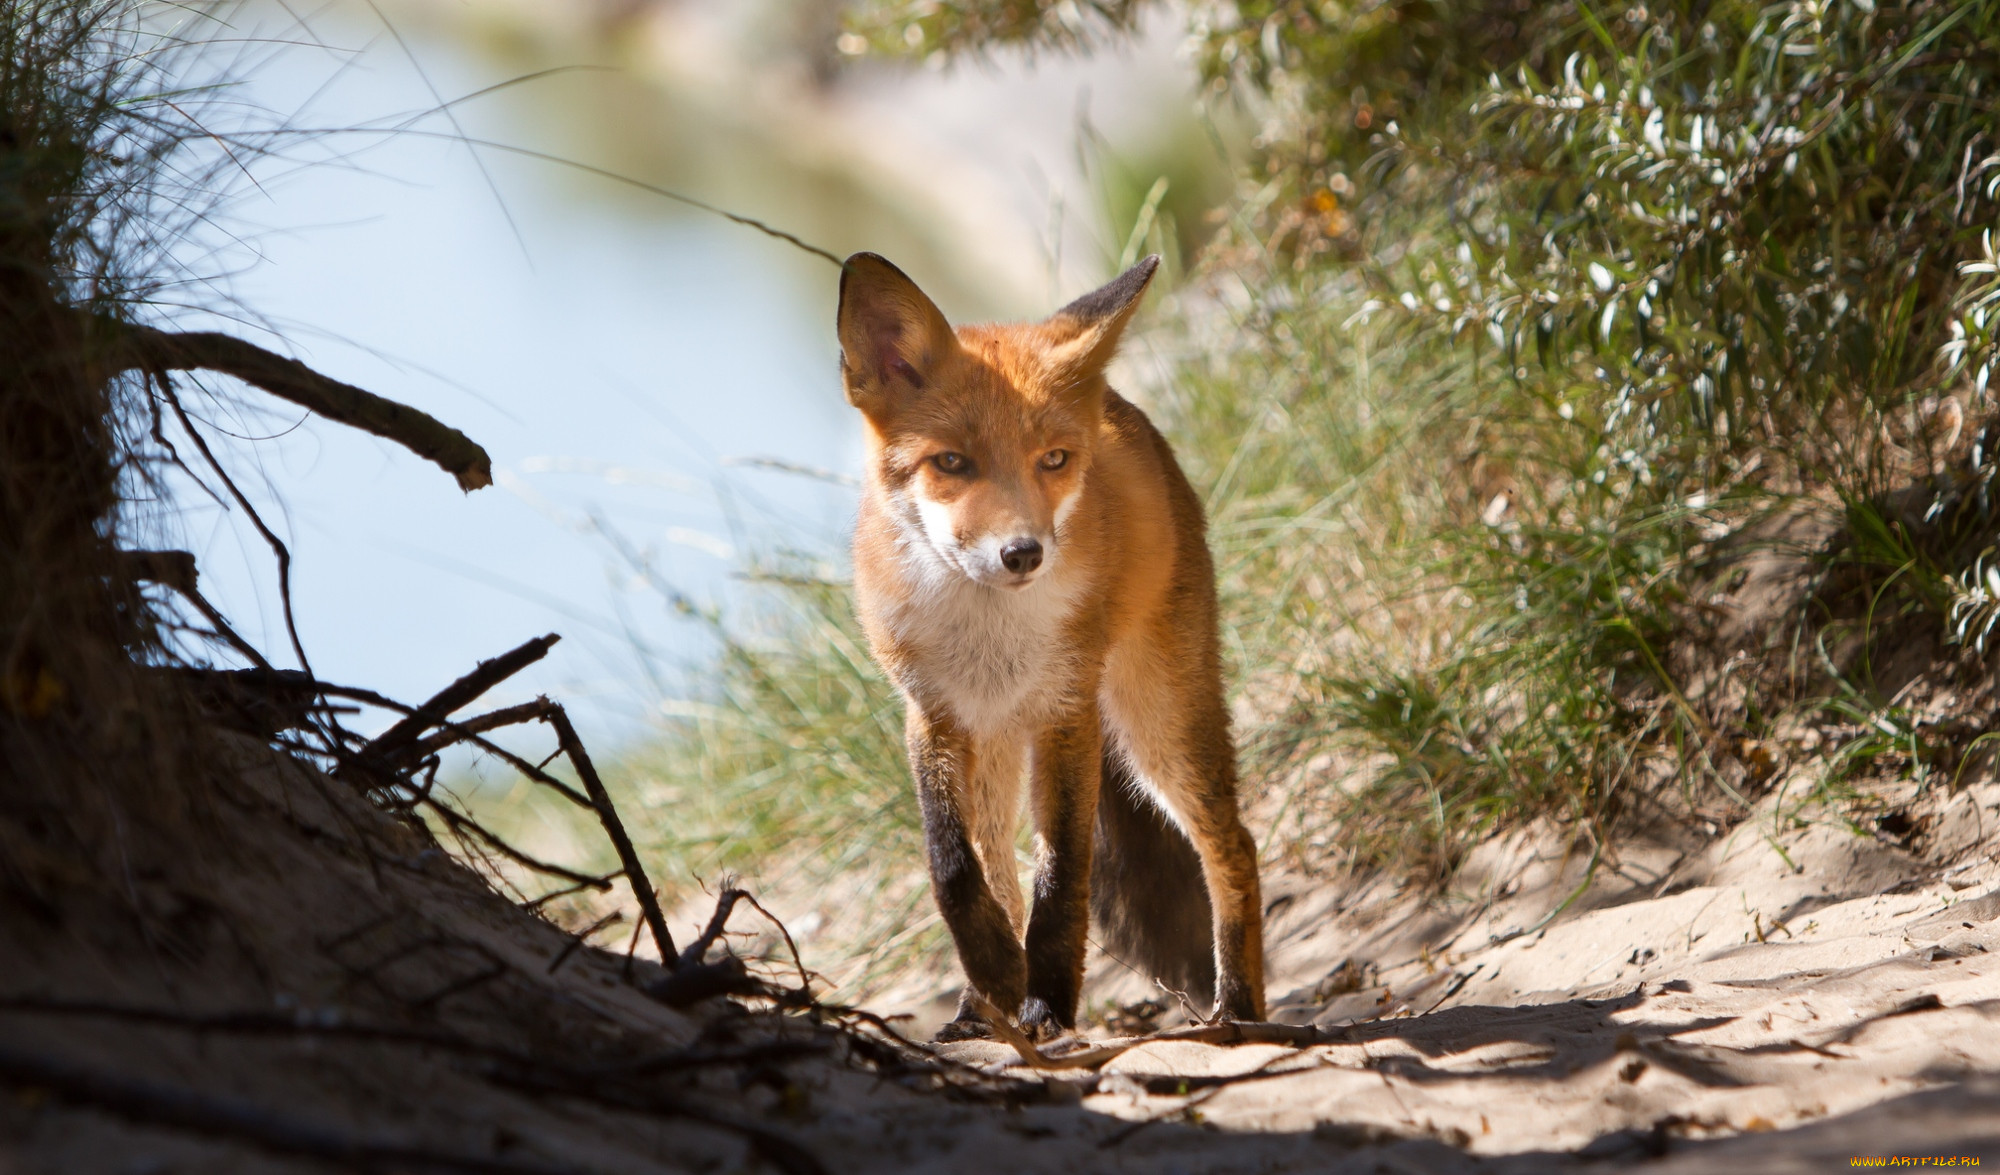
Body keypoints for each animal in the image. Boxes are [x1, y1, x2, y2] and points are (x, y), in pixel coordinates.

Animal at [836, 249, 1256, 1039]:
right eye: (952, 463)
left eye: (1053, 459)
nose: (1022, 553)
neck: (988, 636)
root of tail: (1118, 401)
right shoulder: (933, 716)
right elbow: (953, 866)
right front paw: (999, 970)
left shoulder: (1067, 712)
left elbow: (1063, 876)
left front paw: (1049, 999)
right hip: (1001, 746)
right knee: (996, 862)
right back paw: (980, 1003)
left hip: (1158, 722)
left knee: (1234, 846)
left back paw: (1241, 1008)